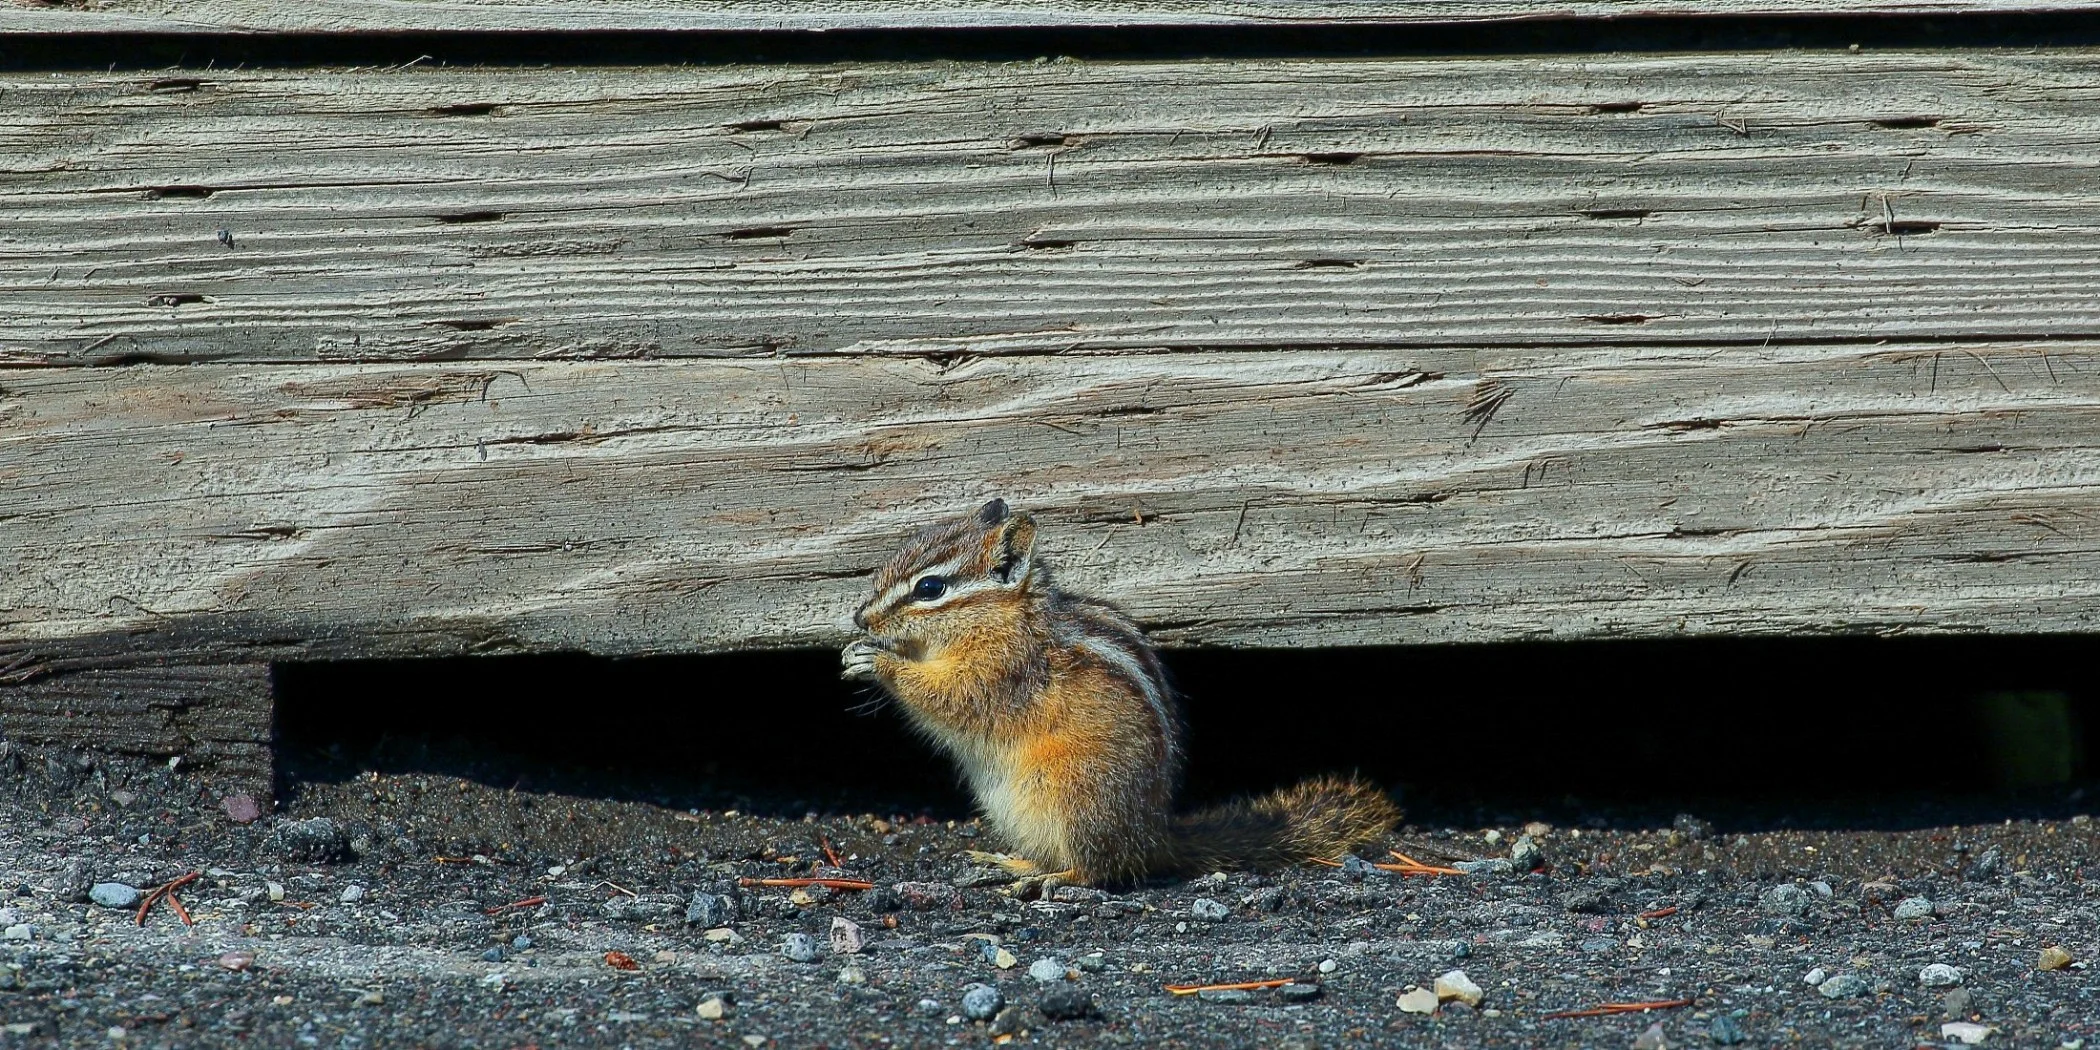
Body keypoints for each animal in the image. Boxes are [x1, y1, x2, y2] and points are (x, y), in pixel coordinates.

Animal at [841, 498, 1398, 889]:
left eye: (930, 588)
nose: (860, 617)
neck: (1005, 617)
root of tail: (1154, 836)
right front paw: (856, 650)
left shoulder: (1001, 669)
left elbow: (950, 696)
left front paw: (878, 662)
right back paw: (1013, 861)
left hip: (1075, 795)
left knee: (1100, 870)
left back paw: (1049, 878)